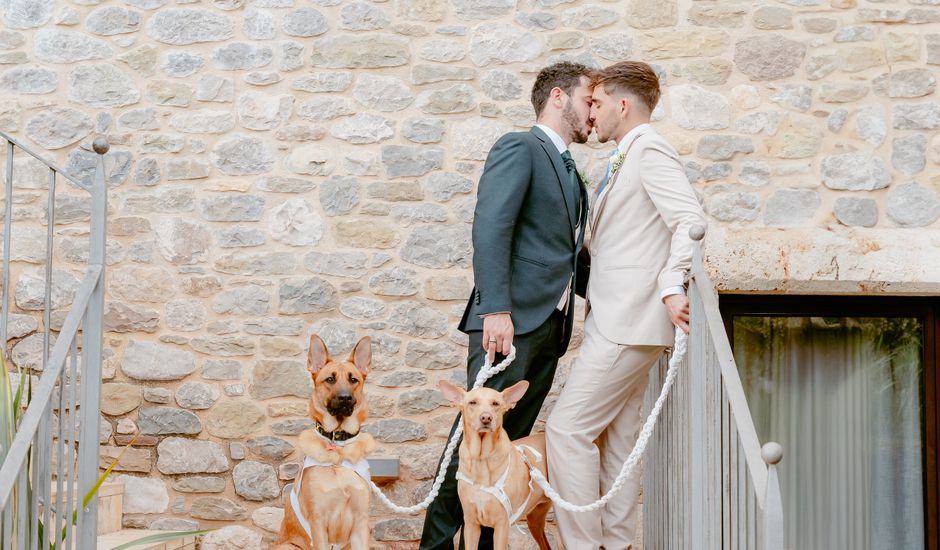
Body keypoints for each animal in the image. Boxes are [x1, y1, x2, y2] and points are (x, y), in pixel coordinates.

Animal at [274, 336, 376, 550]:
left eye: (353, 379)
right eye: (330, 379)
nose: (345, 398)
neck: (337, 448)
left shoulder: (361, 523)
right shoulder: (318, 523)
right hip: (288, 546)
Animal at [438, 380, 552, 550]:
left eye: (495, 404)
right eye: (472, 402)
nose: (486, 418)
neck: (482, 459)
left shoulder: (502, 526)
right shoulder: (471, 525)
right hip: (535, 521)